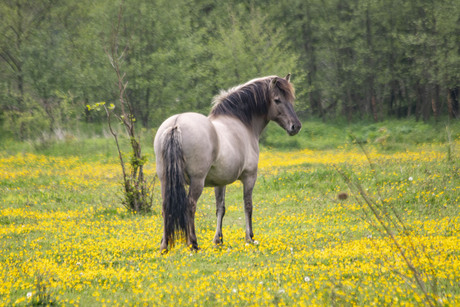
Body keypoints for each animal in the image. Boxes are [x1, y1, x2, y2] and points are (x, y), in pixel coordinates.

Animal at [155, 74, 302, 253]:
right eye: (277, 100)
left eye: (290, 99)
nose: (295, 126)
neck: (241, 122)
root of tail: (176, 124)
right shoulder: (249, 177)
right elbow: (248, 206)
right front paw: (250, 238)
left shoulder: (220, 182)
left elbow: (220, 208)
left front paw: (218, 240)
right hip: (197, 181)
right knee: (190, 206)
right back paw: (193, 244)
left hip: (165, 179)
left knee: (165, 207)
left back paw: (164, 246)